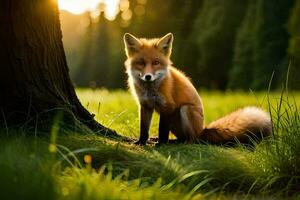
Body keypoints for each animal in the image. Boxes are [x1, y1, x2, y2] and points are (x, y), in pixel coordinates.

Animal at [122, 32, 272, 145]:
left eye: (156, 63)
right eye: (141, 63)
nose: (148, 76)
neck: (150, 89)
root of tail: (203, 130)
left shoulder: (168, 107)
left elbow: (162, 129)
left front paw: (161, 143)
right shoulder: (145, 105)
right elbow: (143, 129)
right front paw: (141, 142)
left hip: (185, 110)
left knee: (192, 139)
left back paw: (178, 142)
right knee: (182, 137)